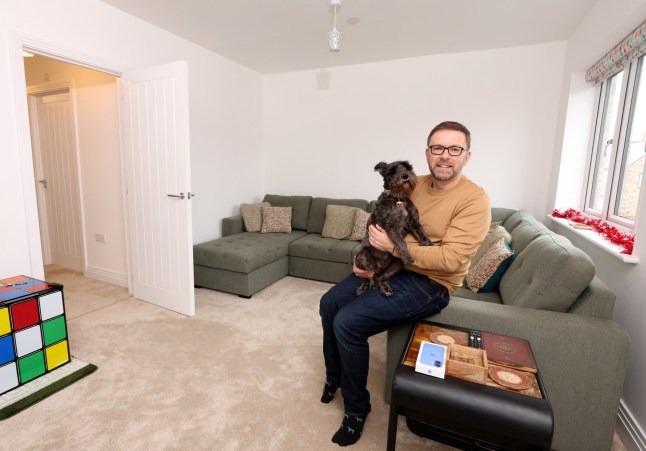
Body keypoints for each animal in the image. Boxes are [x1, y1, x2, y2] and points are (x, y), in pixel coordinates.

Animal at [356, 161, 432, 298]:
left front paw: (430, 246)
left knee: (381, 277)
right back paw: (366, 286)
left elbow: (424, 236)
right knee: (368, 275)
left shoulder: (414, 223)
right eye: (392, 171)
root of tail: (379, 268)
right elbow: (401, 242)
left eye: (408, 167)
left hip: (396, 263)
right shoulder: (391, 226)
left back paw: (385, 288)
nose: (406, 176)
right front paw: (408, 257)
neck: (398, 198)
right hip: (362, 256)